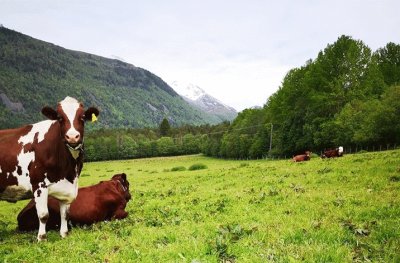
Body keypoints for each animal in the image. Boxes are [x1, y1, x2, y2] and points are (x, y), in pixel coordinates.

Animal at [0, 96, 99, 241]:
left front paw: (64, 234)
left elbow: (65, 214)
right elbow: (43, 214)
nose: (72, 137)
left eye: (82, 117)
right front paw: (42, 238)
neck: (69, 170)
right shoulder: (39, 184)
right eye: (60, 118)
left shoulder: (67, 188)